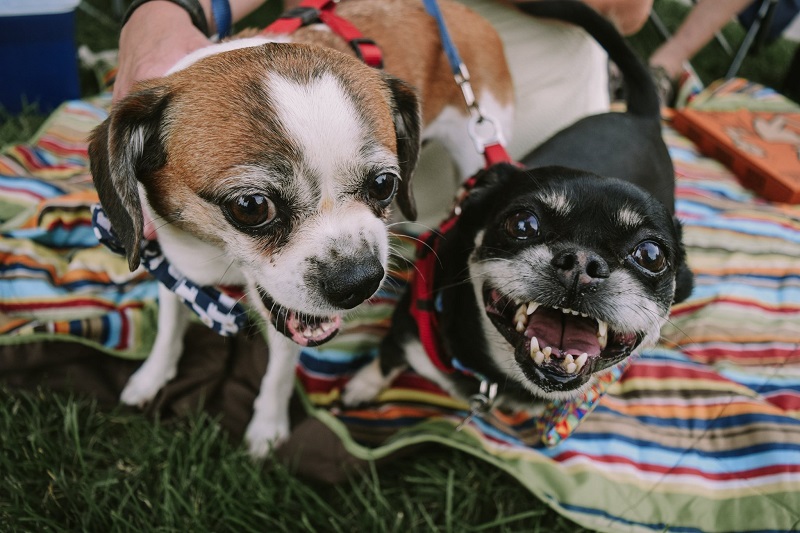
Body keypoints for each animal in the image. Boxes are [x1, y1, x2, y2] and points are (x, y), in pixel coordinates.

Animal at [87, 0, 512, 458]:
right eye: (251, 207)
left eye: (384, 184)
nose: (358, 282)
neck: (216, 258)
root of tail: (461, 12)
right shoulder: (170, 260)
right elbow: (169, 325)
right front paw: (151, 375)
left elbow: (277, 373)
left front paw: (268, 427)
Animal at [344, 0, 692, 408]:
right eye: (522, 224)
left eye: (651, 255)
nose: (583, 263)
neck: (497, 378)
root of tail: (643, 115)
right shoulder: (407, 329)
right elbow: (386, 358)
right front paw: (363, 385)